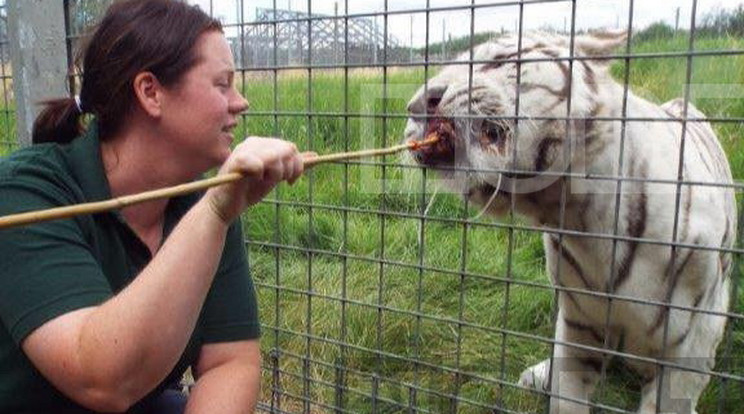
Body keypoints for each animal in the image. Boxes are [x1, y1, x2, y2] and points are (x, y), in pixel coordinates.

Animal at [404, 30, 736, 412]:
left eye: (498, 60)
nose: (416, 105)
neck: (579, 214)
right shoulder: (579, 321)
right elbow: (567, 394)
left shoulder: (694, 336)